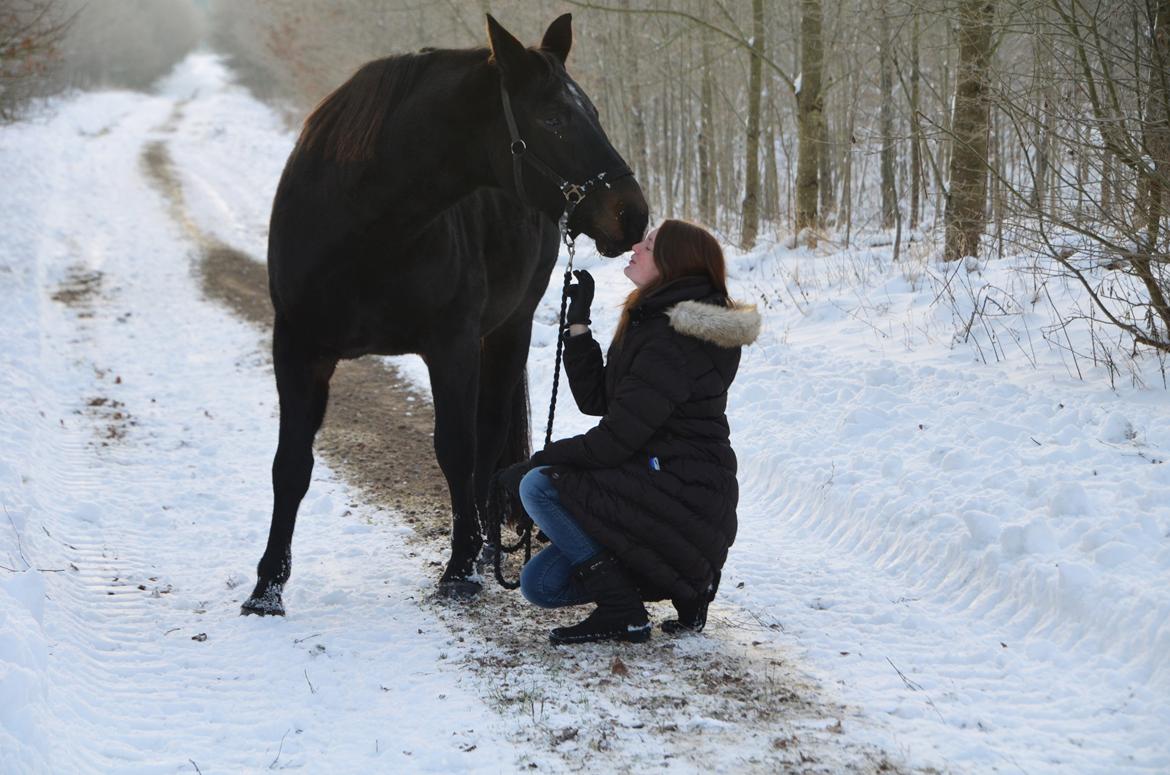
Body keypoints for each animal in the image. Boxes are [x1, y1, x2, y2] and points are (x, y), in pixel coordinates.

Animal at [241, 13, 650, 618]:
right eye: (553, 118)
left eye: (593, 113)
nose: (633, 214)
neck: (360, 231)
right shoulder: (297, 348)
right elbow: (290, 464)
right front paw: (267, 588)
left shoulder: (451, 345)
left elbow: (457, 447)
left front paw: (460, 570)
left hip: (509, 329)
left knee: (489, 433)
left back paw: (484, 549)